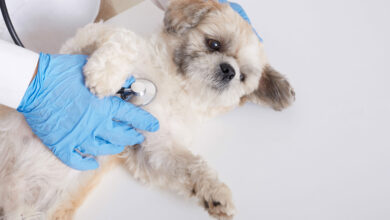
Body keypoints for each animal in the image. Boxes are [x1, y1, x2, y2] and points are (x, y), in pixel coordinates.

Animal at [0, 0, 294, 218]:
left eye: (243, 76)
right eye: (213, 44)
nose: (228, 70)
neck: (174, 83)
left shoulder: (154, 147)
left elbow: (190, 165)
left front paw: (214, 192)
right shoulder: (79, 43)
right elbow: (124, 37)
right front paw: (103, 76)